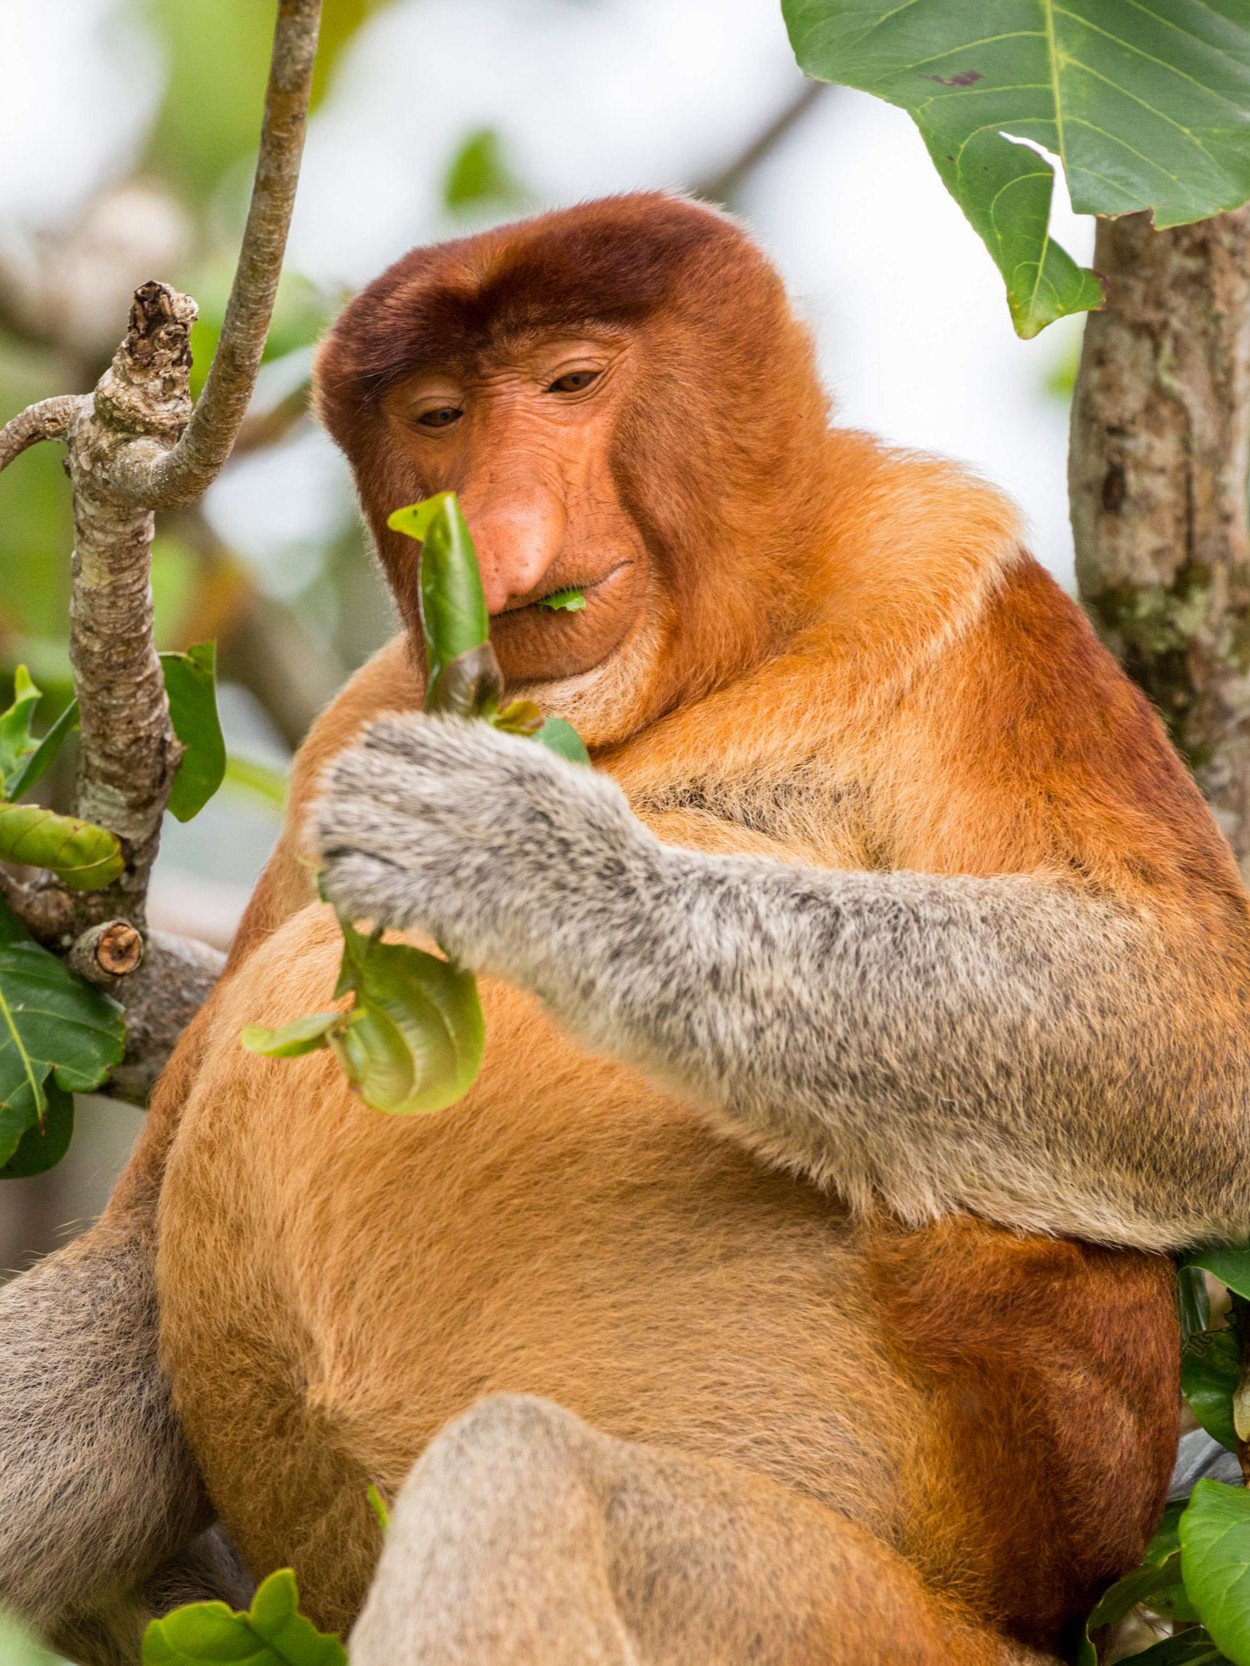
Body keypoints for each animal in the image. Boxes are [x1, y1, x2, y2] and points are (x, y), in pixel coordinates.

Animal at [2, 190, 1243, 1663]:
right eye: (436, 415)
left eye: (571, 383)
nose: (498, 536)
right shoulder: (349, 721)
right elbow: (134, 1277)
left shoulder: (952, 581)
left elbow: (1189, 1016)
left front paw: (506, 849)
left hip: (842, 1616)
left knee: (528, 1471)